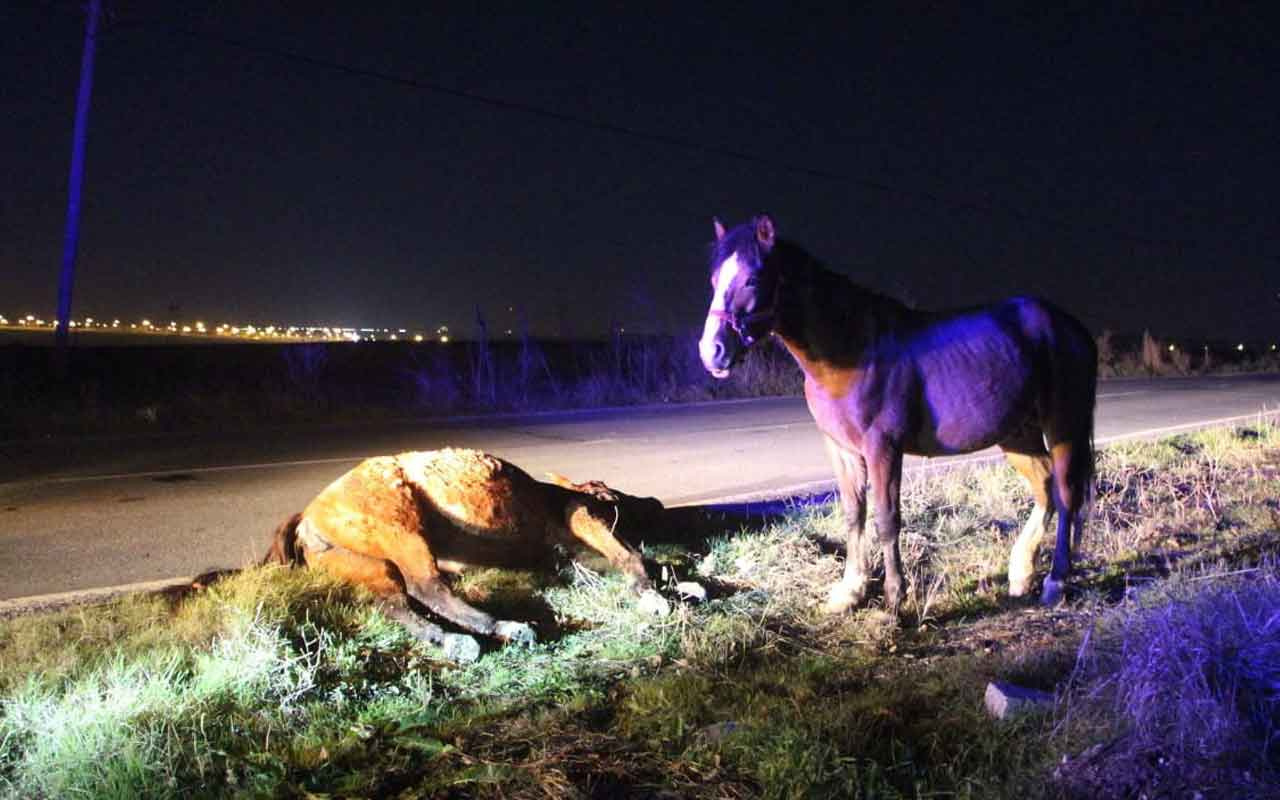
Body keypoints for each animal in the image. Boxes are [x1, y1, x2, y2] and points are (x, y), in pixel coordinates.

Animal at [258, 445, 660, 660]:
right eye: (605, 492)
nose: (654, 502)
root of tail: (306, 517)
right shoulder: (580, 515)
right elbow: (628, 555)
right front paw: (652, 594)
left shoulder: (561, 553)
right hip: (403, 527)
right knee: (426, 587)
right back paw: (502, 628)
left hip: (369, 564)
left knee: (393, 603)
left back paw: (451, 640)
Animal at [696, 213, 1095, 611]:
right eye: (714, 280)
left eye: (752, 278)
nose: (711, 351)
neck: (850, 351)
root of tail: (1071, 326)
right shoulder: (841, 449)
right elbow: (853, 514)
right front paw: (851, 590)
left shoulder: (883, 447)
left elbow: (886, 519)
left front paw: (894, 599)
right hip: (1017, 432)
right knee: (1044, 485)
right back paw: (1021, 573)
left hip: (1064, 423)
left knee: (1065, 494)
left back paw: (1055, 582)